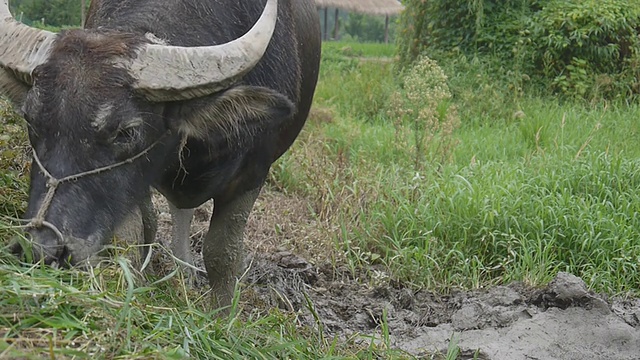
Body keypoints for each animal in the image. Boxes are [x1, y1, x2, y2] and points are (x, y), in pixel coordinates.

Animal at [0, 0, 320, 306]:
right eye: (30, 119)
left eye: (127, 132)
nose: (41, 249)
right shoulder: (134, 184)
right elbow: (136, 232)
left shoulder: (252, 174)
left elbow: (222, 253)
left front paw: (221, 313)